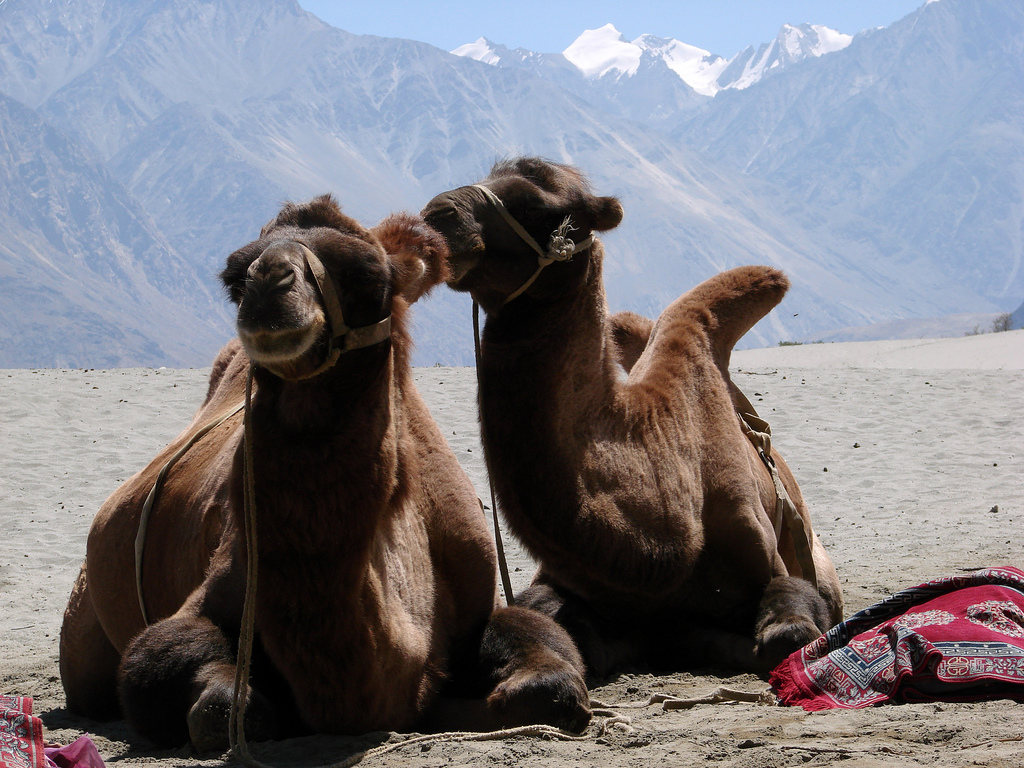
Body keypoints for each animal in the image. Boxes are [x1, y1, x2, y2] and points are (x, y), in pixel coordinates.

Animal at [59, 193, 589, 753]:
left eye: (369, 277)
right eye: (235, 277)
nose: (267, 283)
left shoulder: (477, 605)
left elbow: (550, 679)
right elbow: (200, 691)